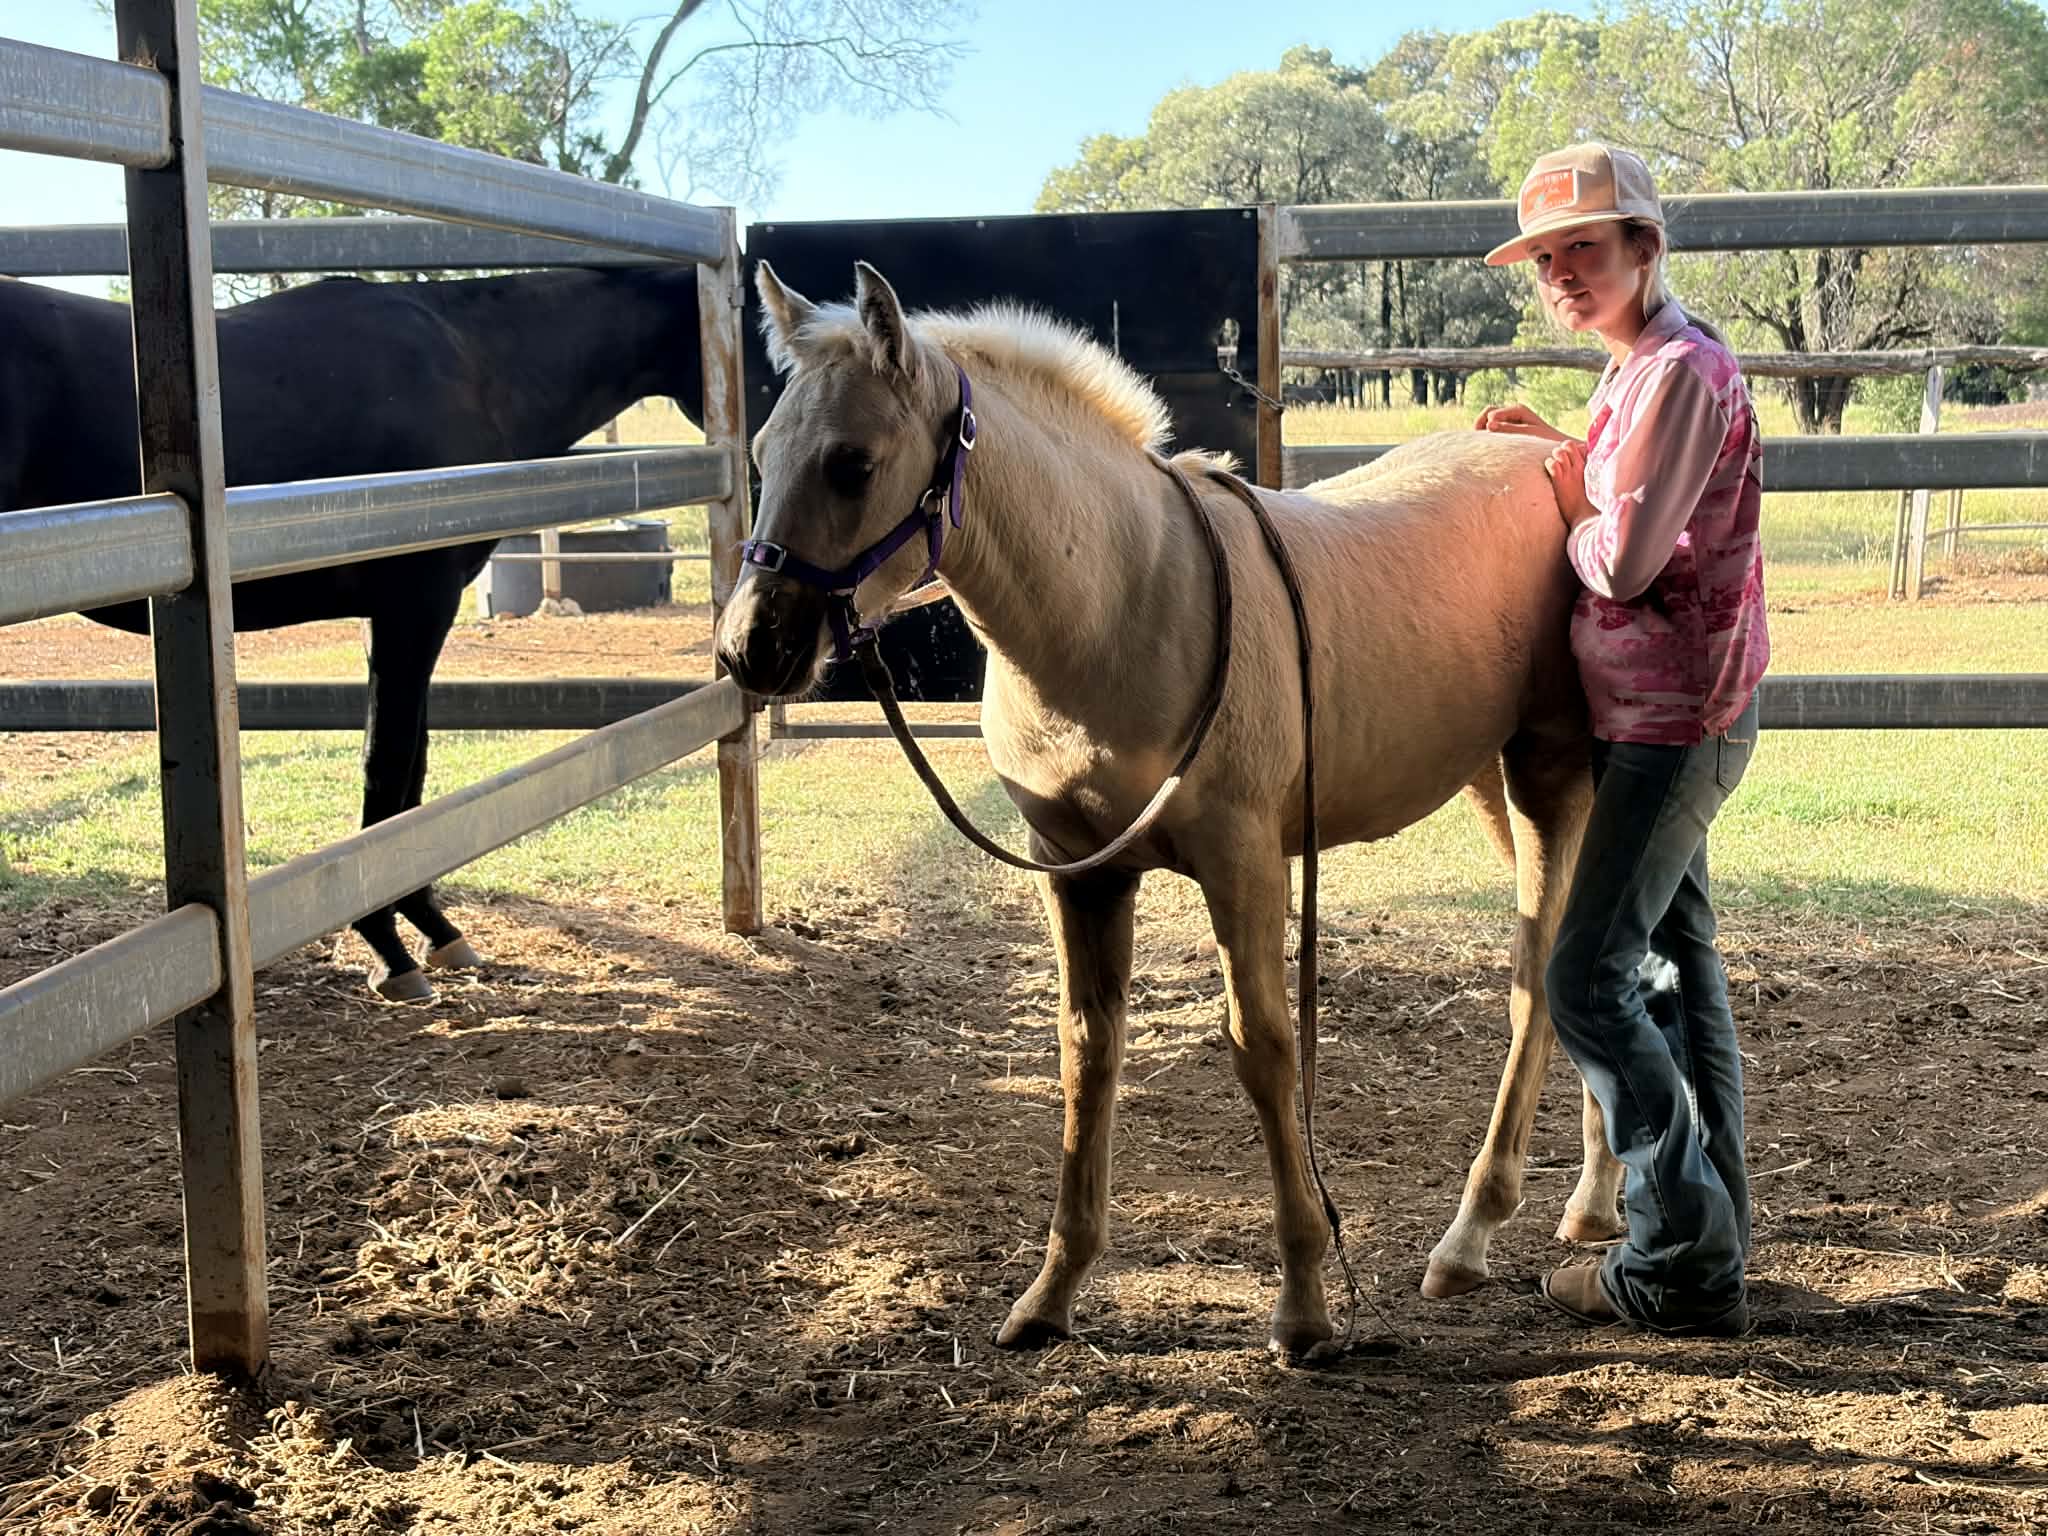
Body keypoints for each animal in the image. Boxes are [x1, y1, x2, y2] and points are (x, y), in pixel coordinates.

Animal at [0, 267, 705, 1000]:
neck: (474, 361)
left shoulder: (405, 614)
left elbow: (414, 765)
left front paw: (433, 927)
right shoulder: (416, 604)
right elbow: (388, 763)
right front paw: (387, 944)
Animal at [715, 260, 1632, 1357]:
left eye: (852, 462)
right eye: (762, 454)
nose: (749, 648)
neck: (1121, 601)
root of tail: (1550, 454)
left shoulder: (1243, 862)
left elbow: (1263, 1048)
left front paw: (1304, 1304)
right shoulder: (1078, 870)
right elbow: (1086, 1050)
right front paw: (1051, 1293)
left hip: (1550, 775)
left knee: (1539, 983)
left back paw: (1475, 1232)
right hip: (1494, 783)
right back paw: (1591, 1203)